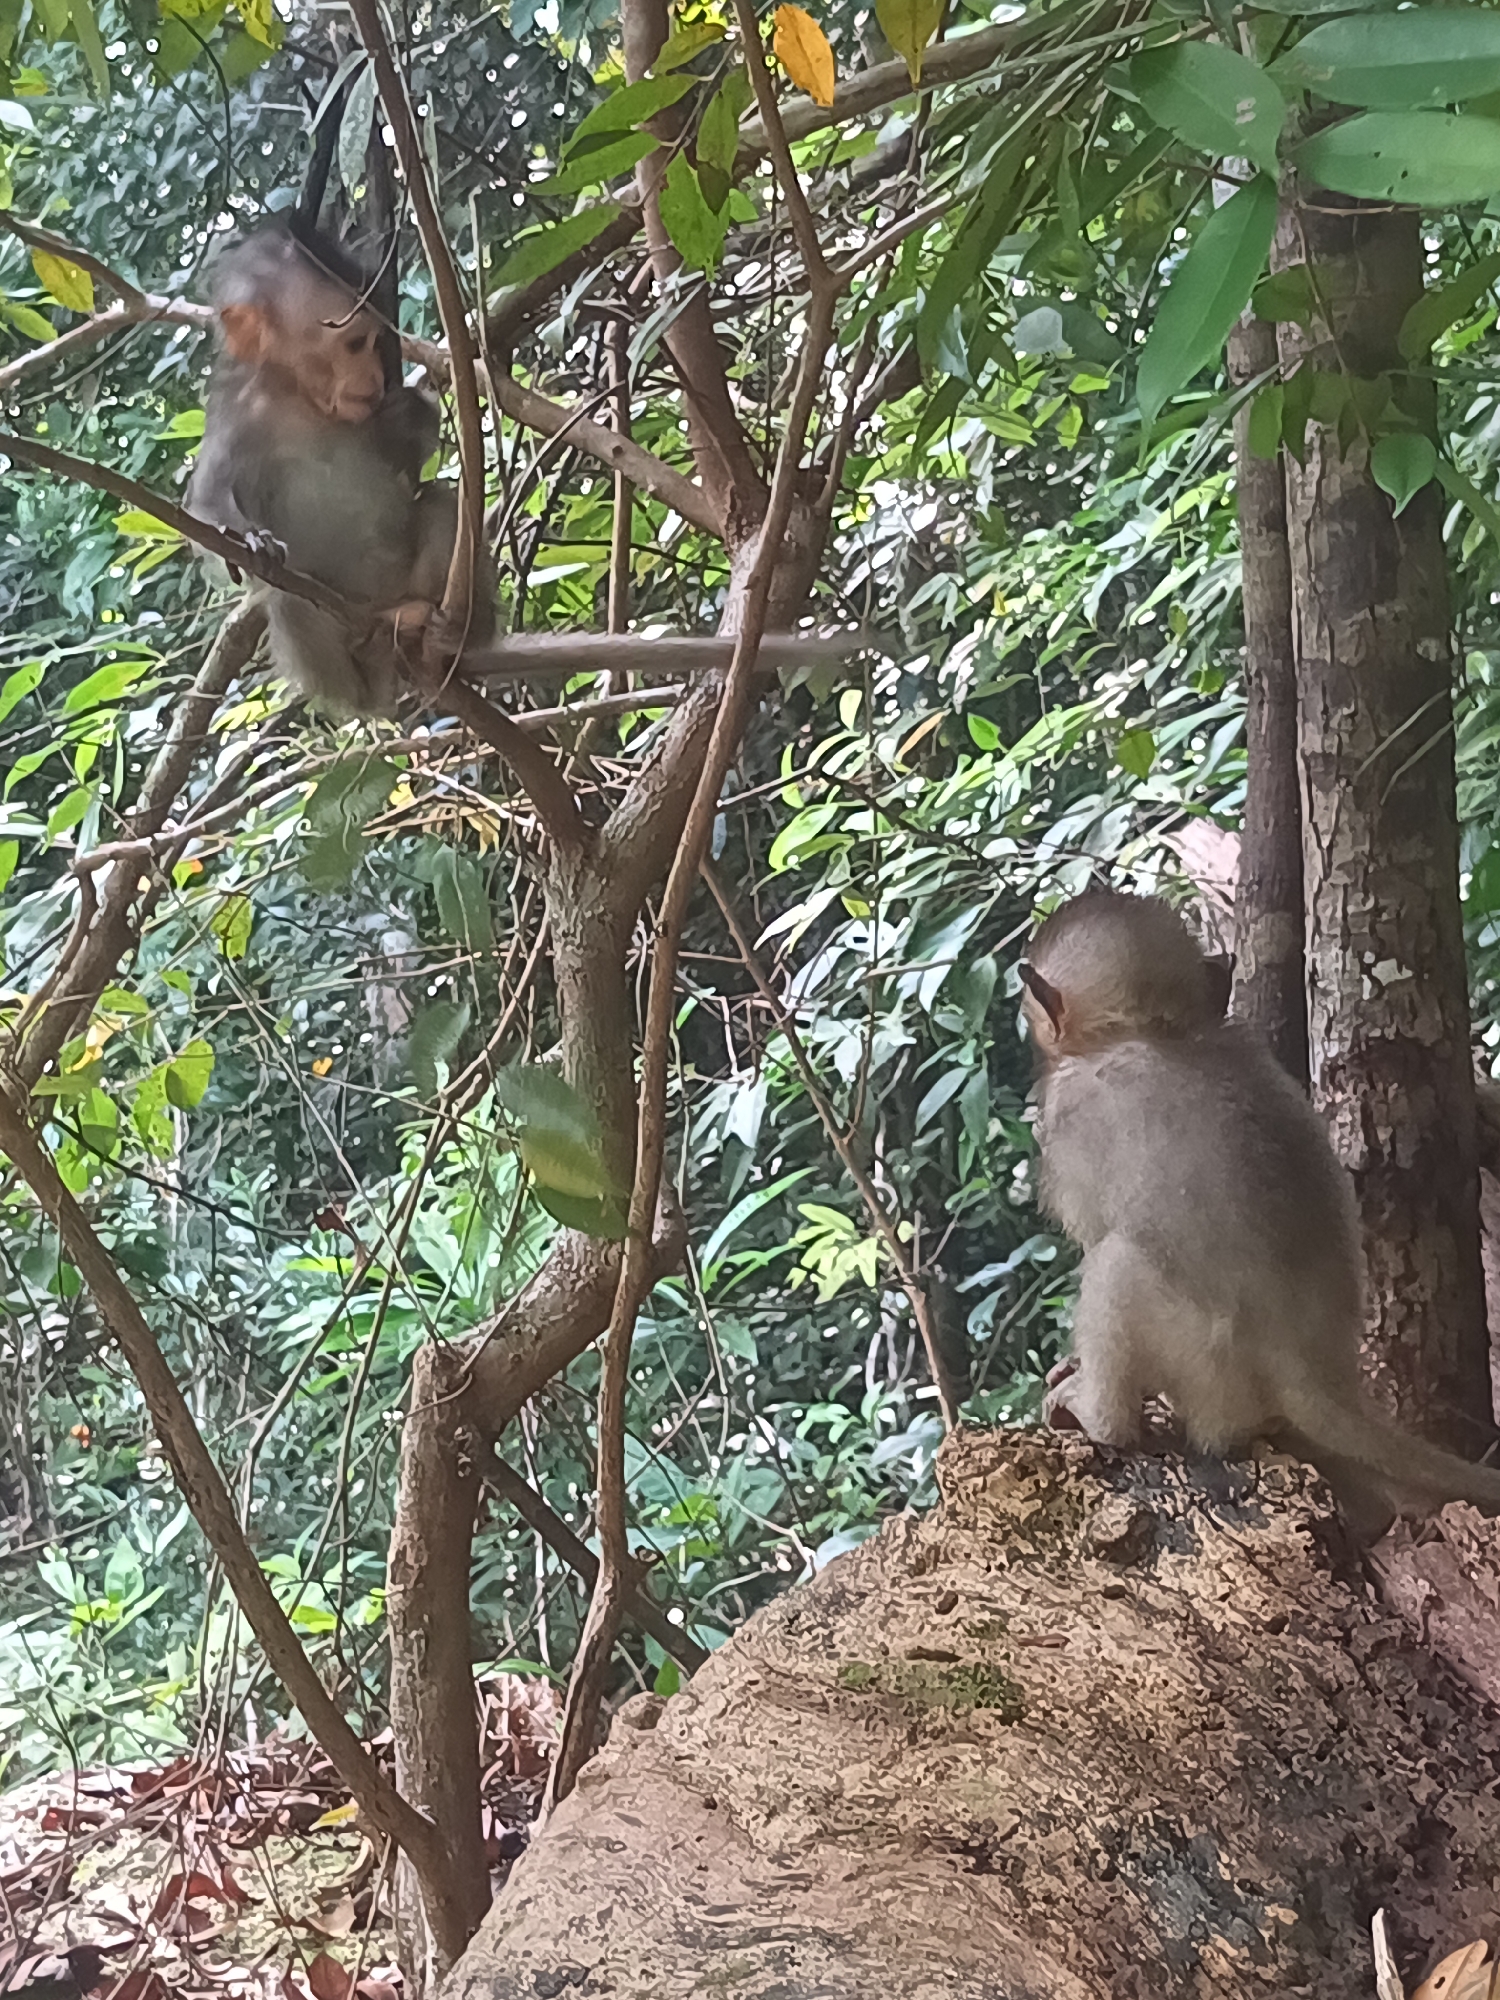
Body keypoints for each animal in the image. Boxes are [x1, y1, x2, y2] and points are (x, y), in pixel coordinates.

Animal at [1018, 887, 1500, 1540]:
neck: (1151, 1030)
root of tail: (1315, 1371)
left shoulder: (1065, 1120)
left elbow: (1095, 1235)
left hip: (1210, 1376)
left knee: (1117, 1263)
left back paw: (1103, 1419)